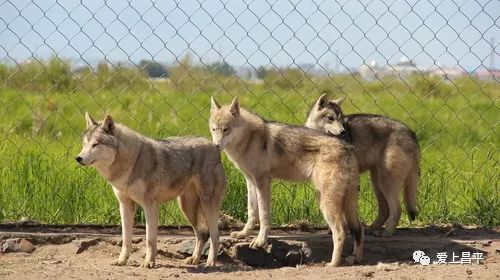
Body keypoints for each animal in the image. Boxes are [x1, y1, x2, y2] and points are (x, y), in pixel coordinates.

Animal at [75, 113, 226, 266]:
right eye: (84, 144)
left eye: (95, 144)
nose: (78, 158)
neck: (132, 162)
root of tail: (214, 146)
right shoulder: (125, 205)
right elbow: (126, 239)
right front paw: (122, 260)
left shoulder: (150, 205)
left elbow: (149, 239)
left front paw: (148, 263)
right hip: (186, 207)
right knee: (202, 234)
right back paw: (194, 259)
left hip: (207, 204)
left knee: (215, 235)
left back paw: (210, 262)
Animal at [207, 97, 364, 266]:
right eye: (214, 129)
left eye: (226, 130)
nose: (215, 146)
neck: (249, 138)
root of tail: (349, 148)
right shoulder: (250, 181)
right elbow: (252, 212)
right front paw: (243, 234)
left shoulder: (262, 181)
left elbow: (263, 216)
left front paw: (260, 241)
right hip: (345, 203)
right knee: (359, 229)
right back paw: (355, 258)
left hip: (326, 203)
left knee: (341, 231)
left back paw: (333, 264)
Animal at [306, 94, 420, 236]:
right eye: (330, 118)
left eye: (341, 120)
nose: (343, 132)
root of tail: (411, 133)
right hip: (377, 183)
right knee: (385, 210)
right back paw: (371, 229)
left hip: (386, 183)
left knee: (396, 210)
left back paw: (386, 233)